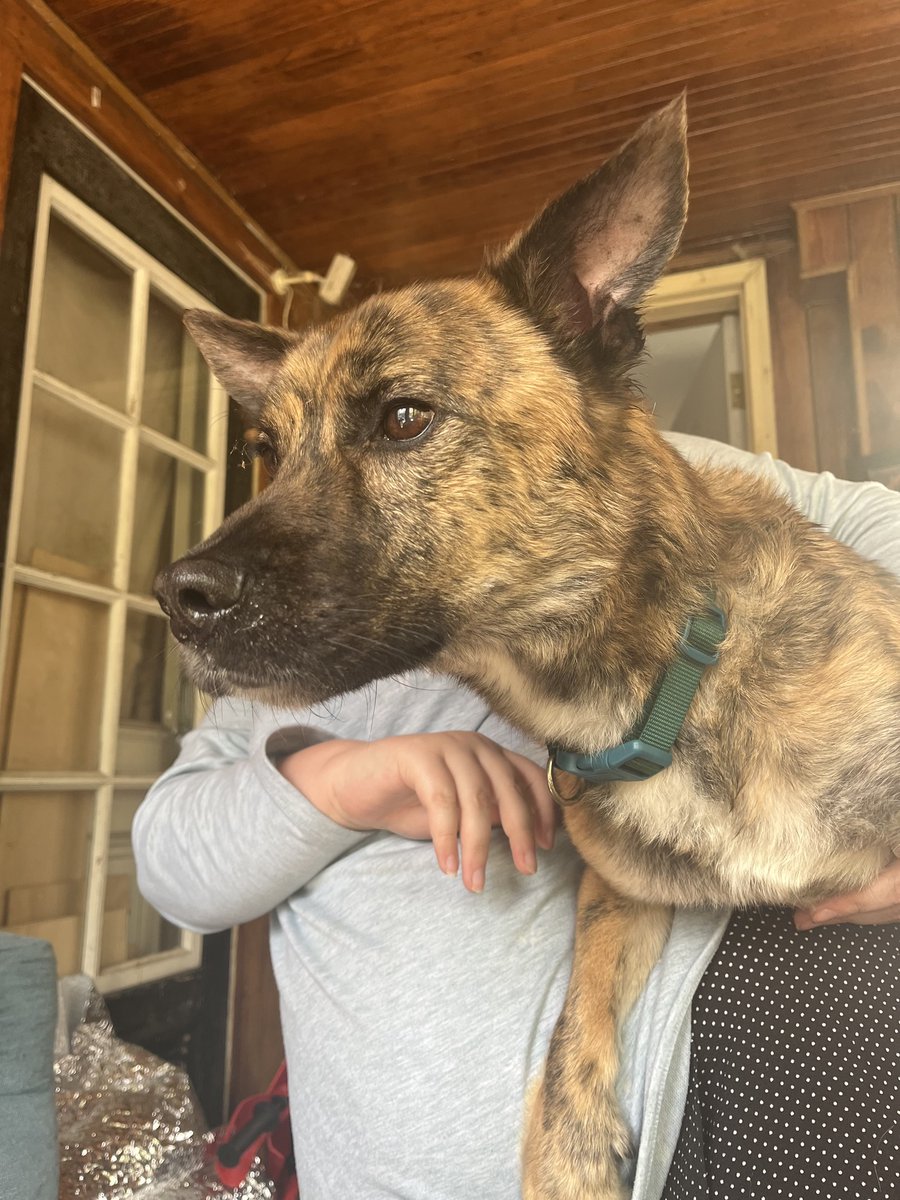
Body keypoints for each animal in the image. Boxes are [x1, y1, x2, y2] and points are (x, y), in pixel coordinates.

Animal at [154, 98, 900, 1195]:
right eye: (265, 452)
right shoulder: (620, 894)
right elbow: (575, 1009)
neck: (651, 693)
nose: (177, 596)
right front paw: (567, 1150)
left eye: (404, 417)